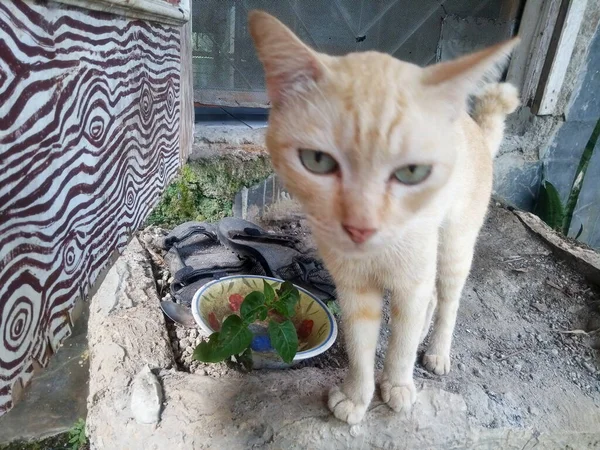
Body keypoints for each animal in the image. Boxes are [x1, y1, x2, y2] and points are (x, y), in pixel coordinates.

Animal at [248, 10, 520, 426]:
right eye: (317, 161)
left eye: (412, 172)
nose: (360, 226)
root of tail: (473, 125)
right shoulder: (354, 290)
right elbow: (361, 347)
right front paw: (356, 397)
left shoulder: (412, 279)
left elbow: (401, 344)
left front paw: (398, 386)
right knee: (432, 301)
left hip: (453, 247)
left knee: (447, 301)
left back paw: (437, 351)